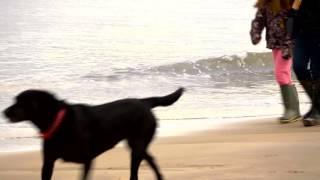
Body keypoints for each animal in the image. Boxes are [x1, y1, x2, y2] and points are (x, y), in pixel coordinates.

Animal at [2, 88, 184, 180]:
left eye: (21, 103)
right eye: (15, 100)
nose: (4, 112)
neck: (59, 121)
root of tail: (144, 102)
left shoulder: (87, 160)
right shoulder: (48, 162)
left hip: (138, 145)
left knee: (135, 171)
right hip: (136, 143)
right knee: (151, 159)